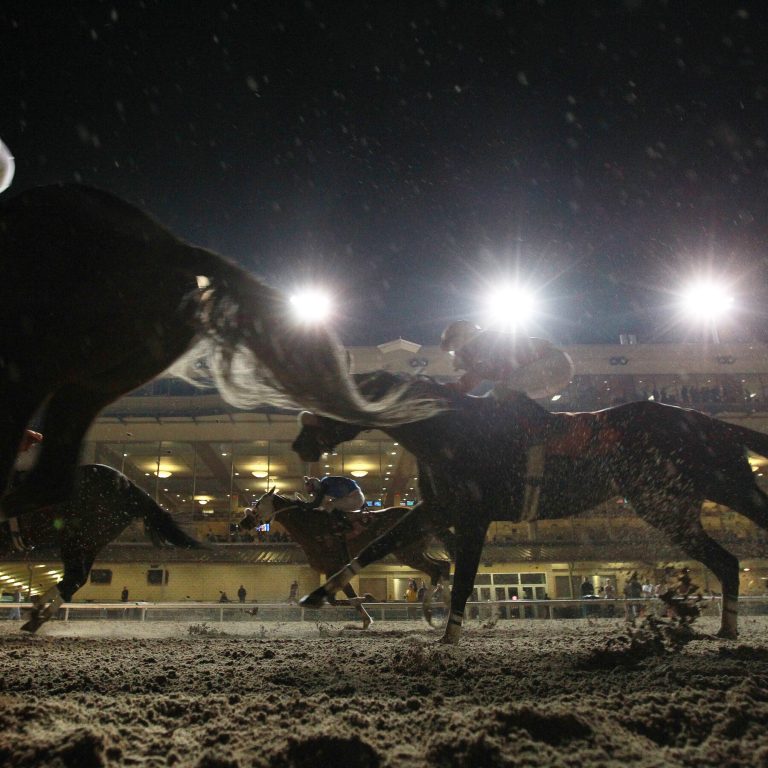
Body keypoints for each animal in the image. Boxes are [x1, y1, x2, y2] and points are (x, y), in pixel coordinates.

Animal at [0, 463, 202, 632]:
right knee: (75, 580)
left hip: (76, 540)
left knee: (73, 579)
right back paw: (36, 616)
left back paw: (36, 615)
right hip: (91, 543)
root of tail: (127, 485)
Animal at [239, 488, 451, 628]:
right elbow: (343, 598)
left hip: (408, 553)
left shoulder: (336, 566)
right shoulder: (334, 569)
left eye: (257, 506)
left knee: (437, 568)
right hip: (413, 552)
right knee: (442, 566)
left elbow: (343, 598)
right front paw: (365, 618)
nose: (242, 523)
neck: (313, 526)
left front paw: (367, 599)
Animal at [292, 371, 768, 644]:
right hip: (681, 505)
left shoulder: (473, 515)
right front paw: (316, 596)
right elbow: (374, 548)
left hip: (695, 496)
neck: (450, 430)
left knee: (733, 549)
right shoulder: (435, 508)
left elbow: (463, 578)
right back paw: (726, 629)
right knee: (727, 562)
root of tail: (714, 424)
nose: (299, 444)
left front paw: (449, 636)